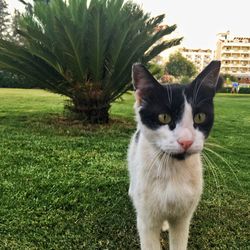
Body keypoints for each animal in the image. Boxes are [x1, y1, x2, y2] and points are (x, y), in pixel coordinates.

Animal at [128, 61, 222, 250]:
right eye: (164, 117)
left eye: (200, 117)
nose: (186, 141)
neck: (172, 169)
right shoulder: (147, 221)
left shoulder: (182, 219)